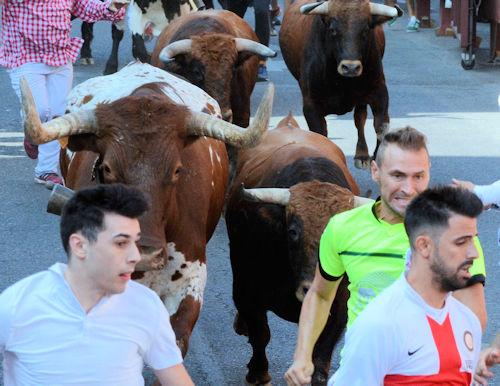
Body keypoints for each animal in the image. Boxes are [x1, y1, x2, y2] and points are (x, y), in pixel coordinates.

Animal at [226, 113, 372, 384]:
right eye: (293, 232)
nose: (311, 287)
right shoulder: (246, 289)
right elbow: (261, 333)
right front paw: (258, 372)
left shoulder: (339, 307)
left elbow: (321, 354)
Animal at [280, 0, 404, 169]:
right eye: (333, 30)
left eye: (366, 29)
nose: (350, 67)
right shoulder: (311, 105)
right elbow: (320, 134)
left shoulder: (380, 92)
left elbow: (380, 127)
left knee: (360, 118)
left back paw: (362, 155)